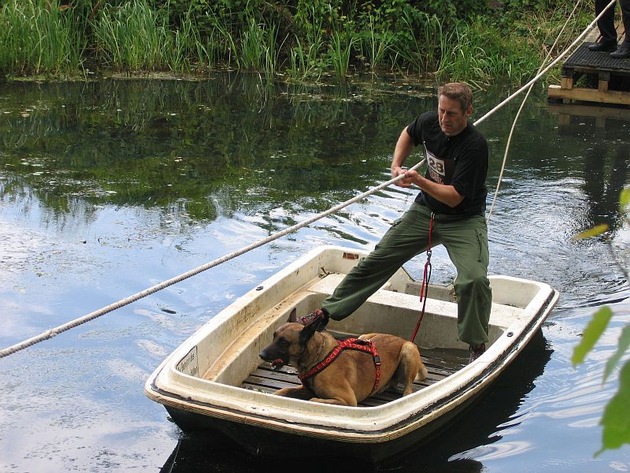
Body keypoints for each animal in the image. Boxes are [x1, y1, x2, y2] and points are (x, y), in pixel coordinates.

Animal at [258, 314, 430, 406]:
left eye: (283, 342)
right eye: (274, 336)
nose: (261, 354)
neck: (319, 358)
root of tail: (400, 339)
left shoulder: (348, 400)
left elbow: (314, 399)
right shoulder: (305, 388)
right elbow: (284, 390)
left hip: (408, 350)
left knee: (408, 387)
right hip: (364, 337)